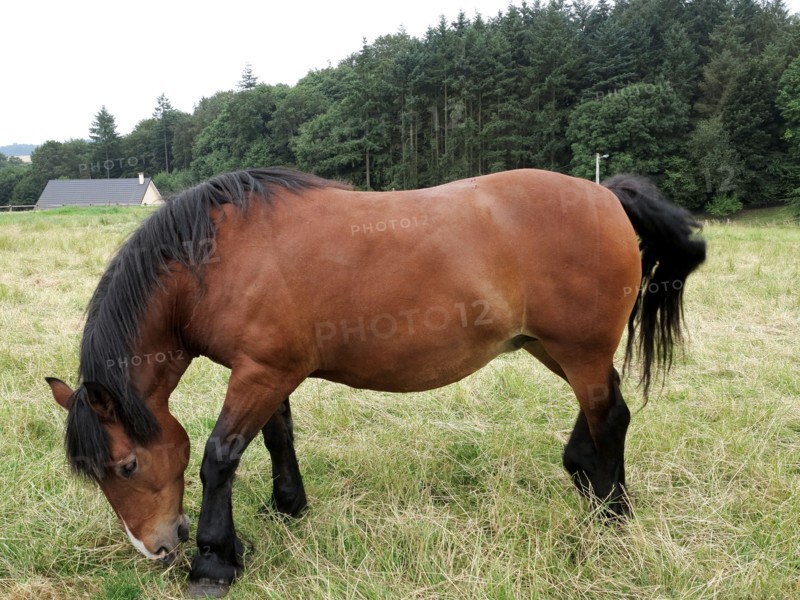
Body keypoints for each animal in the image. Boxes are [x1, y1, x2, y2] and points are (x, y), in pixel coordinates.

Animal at [47, 167, 705, 594]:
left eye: (126, 466)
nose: (156, 547)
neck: (215, 261)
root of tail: (605, 194)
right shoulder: (268, 372)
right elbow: (277, 437)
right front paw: (286, 508)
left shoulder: (261, 373)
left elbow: (220, 456)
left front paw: (213, 562)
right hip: (553, 347)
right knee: (603, 406)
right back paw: (586, 478)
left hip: (577, 348)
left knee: (609, 414)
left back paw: (610, 517)